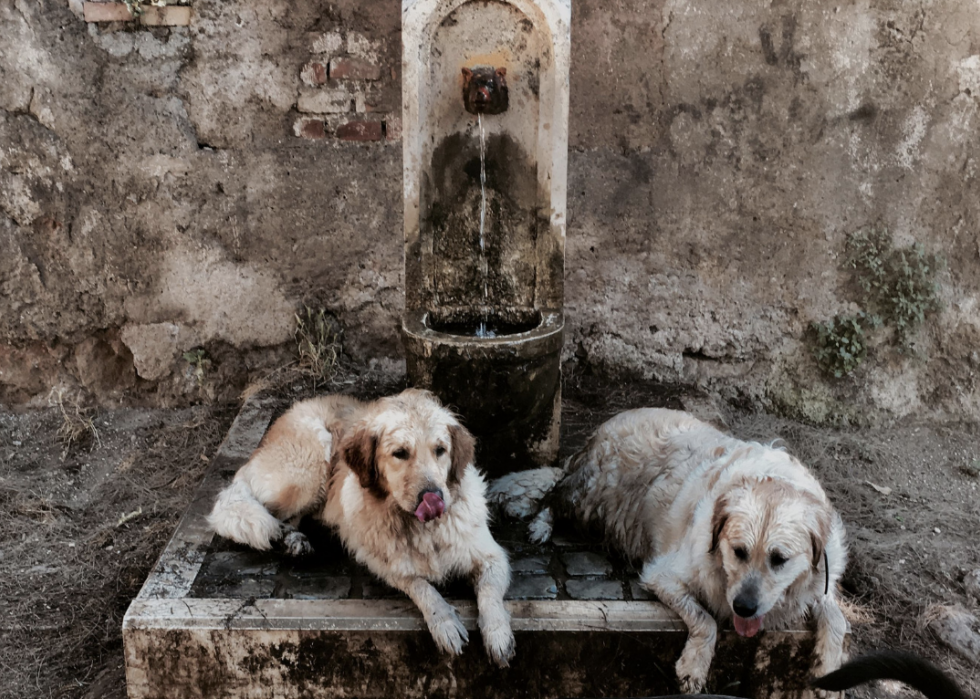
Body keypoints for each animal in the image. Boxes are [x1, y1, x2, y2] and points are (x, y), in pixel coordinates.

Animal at [206, 388, 512, 668]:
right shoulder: (387, 564)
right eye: (400, 453)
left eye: (440, 450)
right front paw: (445, 623)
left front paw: (498, 635)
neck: (421, 528)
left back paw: (291, 541)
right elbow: (423, 588)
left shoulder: (492, 556)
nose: (433, 496)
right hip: (307, 471)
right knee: (238, 505)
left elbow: (490, 596)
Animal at [494, 408, 848, 692]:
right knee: (553, 497)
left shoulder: (820, 582)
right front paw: (694, 667)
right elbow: (705, 619)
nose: (744, 607)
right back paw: (540, 524)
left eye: (779, 560)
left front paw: (828, 666)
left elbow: (838, 618)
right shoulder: (663, 575)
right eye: (739, 551)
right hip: (590, 495)